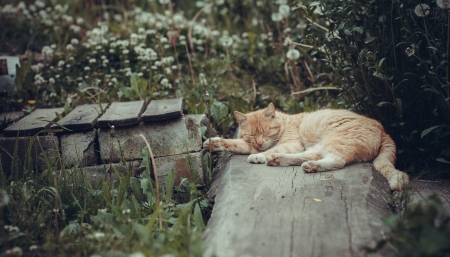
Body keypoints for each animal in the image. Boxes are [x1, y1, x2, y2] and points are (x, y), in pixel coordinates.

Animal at [206, 102, 410, 190]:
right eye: (251, 135)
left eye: (265, 132)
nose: (260, 142)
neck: (285, 122)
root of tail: (383, 129)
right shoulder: (250, 144)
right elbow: (235, 144)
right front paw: (214, 143)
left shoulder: (291, 143)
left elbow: (272, 148)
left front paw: (259, 156)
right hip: (320, 145)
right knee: (311, 156)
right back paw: (278, 160)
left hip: (335, 140)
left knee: (337, 161)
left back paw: (307, 166)